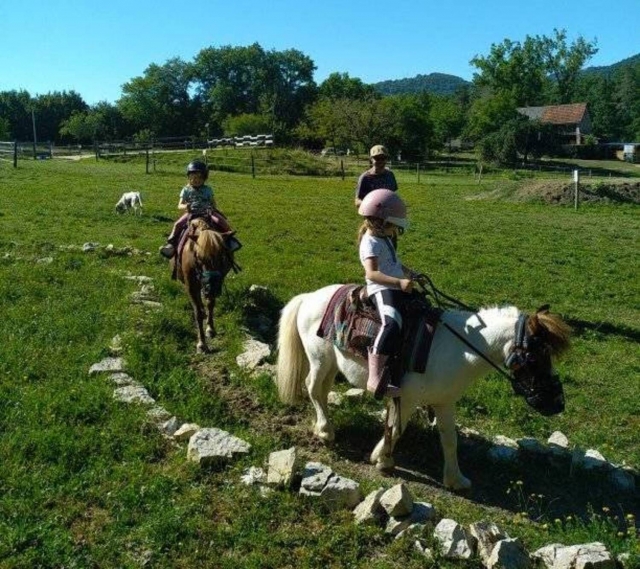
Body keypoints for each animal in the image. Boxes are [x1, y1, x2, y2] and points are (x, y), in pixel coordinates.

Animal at [172, 217, 236, 353]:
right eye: (199, 257)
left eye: (222, 255)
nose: (212, 286)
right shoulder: (190, 286)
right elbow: (198, 313)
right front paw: (201, 344)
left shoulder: (214, 284)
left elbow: (210, 304)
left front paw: (210, 329)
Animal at [276, 284, 571, 490]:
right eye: (535, 356)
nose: (557, 403)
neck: (459, 348)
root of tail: (309, 296)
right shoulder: (406, 398)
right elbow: (396, 428)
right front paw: (382, 459)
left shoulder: (444, 401)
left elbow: (449, 439)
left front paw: (456, 480)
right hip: (319, 358)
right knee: (313, 388)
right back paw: (325, 431)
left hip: (332, 363)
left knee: (323, 391)